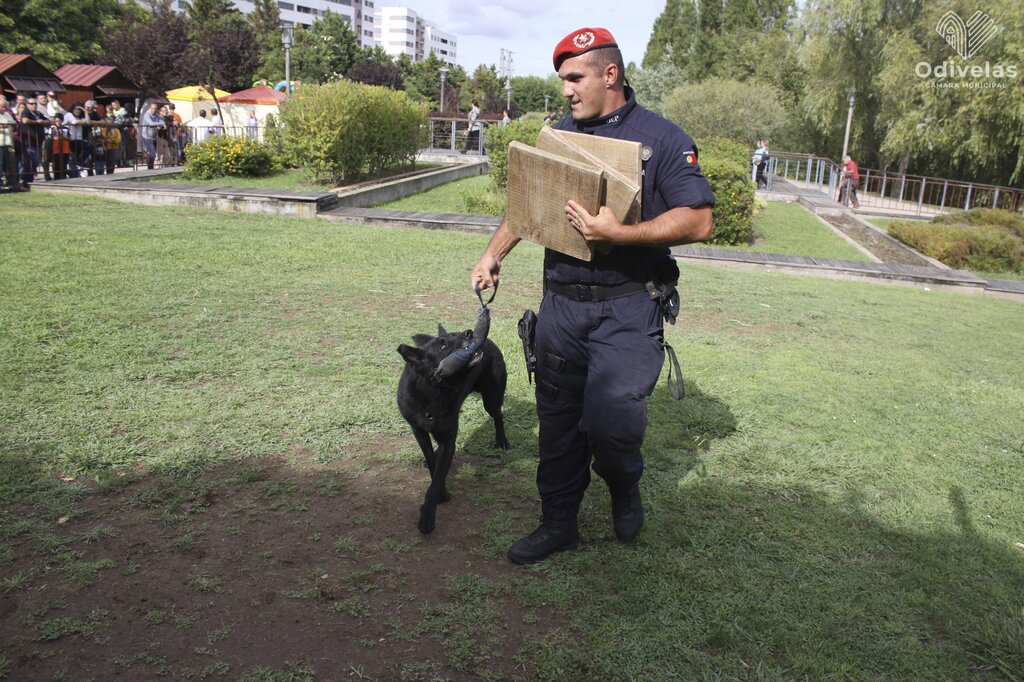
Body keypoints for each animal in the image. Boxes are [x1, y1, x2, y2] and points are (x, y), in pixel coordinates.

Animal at [397, 324, 510, 534]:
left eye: (455, 334)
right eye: (442, 346)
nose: (469, 332)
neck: (432, 391)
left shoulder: (448, 441)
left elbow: (437, 478)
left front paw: (429, 513)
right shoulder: (419, 431)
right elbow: (432, 463)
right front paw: (440, 491)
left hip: (491, 398)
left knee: (498, 415)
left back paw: (502, 441)